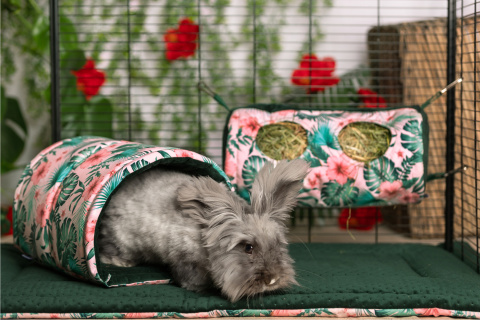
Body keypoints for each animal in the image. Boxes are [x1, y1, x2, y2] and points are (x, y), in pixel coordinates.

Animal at [98, 159, 310, 302]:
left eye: (277, 244)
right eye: (248, 247)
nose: (273, 279)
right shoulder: (184, 258)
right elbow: (189, 278)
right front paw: (200, 288)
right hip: (122, 239)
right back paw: (118, 261)